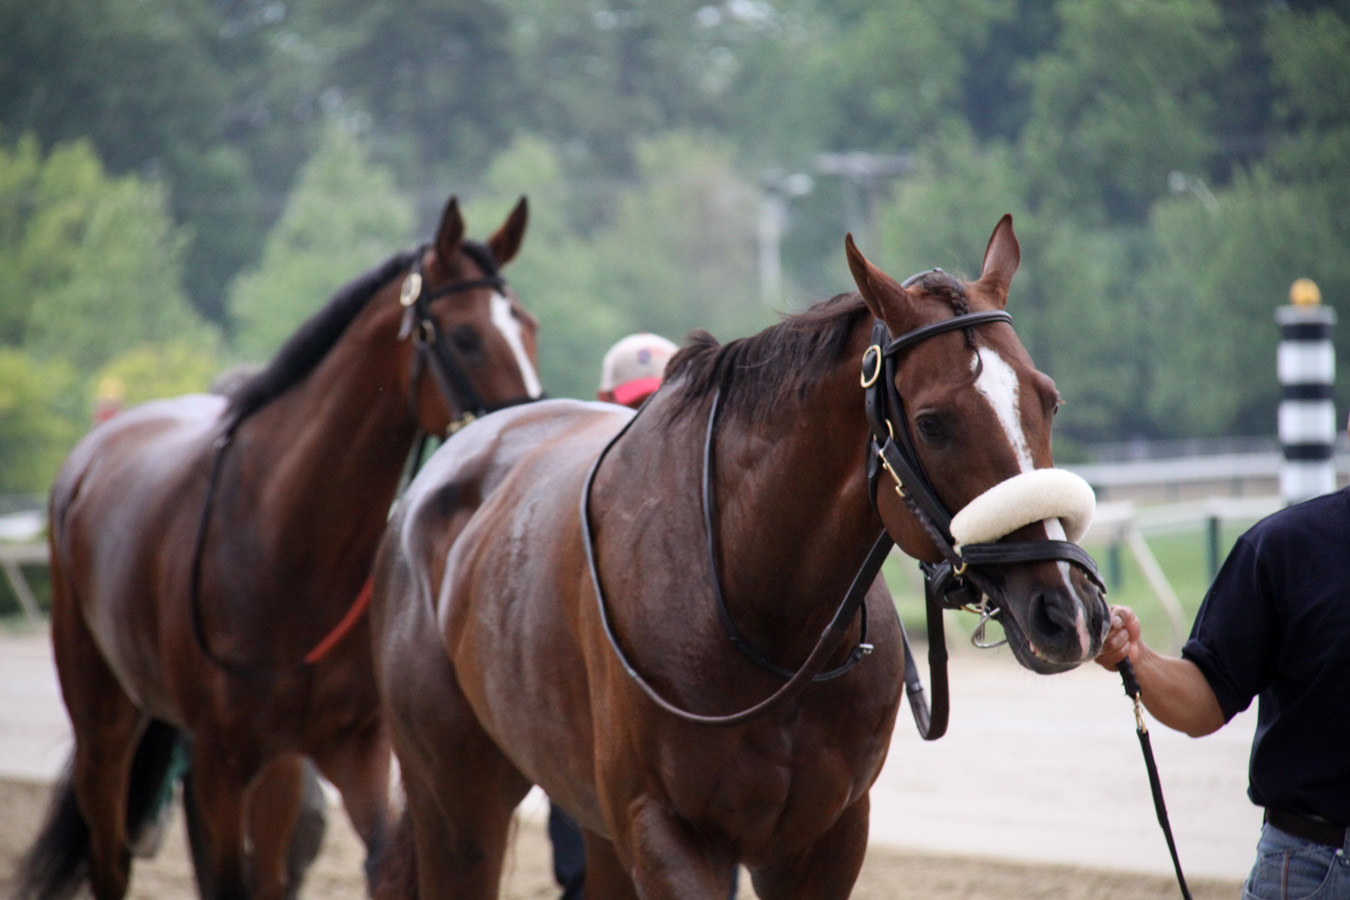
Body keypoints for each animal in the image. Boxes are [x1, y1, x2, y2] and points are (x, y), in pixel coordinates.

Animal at [15, 195, 542, 900]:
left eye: (529, 327)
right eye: (464, 337)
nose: (524, 429)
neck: (289, 540)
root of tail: (90, 455)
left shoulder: (352, 746)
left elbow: (378, 863)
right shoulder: (219, 758)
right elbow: (224, 878)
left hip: (276, 762)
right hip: (104, 715)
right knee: (111, 850)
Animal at [367, 214, 1107, 895]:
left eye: (1049, 399)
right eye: (933, 423)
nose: (1067, 610)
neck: (766, 621)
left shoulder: (827, 836)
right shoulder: (663, 828)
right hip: (457, 797)